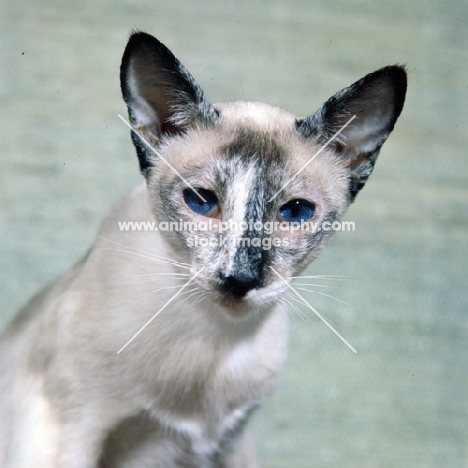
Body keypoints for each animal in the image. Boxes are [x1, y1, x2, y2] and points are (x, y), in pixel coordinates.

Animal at [0, 31, 406, 466]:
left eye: (295, 212)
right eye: (200, 201)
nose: (240, 278)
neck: (215, 340)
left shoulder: (228, 444)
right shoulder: (67, 432)